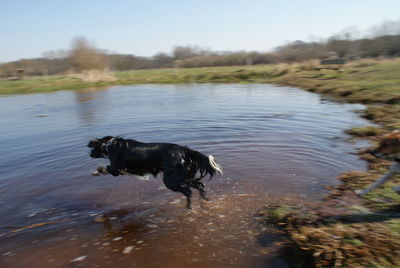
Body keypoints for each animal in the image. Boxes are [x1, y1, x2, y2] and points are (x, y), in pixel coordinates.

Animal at [88, 136, 223, 209]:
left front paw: (96, 171)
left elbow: (106, 167)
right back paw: (204, 201)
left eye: (93, 148)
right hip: (184, 176)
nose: (89, 154)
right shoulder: (121, 170)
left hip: (171, 180)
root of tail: (185, 150)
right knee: (200, 185)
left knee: (188, 191)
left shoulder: (115, 168)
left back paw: (190, 207)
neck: (110, 145)